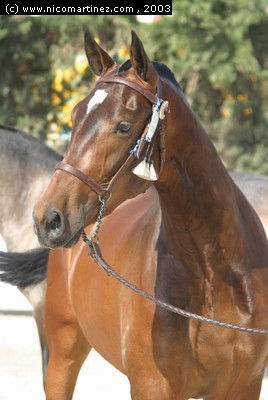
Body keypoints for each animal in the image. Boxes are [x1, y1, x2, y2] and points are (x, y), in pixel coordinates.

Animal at [31, 32, 268, 400]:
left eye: (123, 126)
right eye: (73, 115)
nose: (48, 218)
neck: (216, 276)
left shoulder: (244, 386)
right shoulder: (151, 385)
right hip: (63, 354)